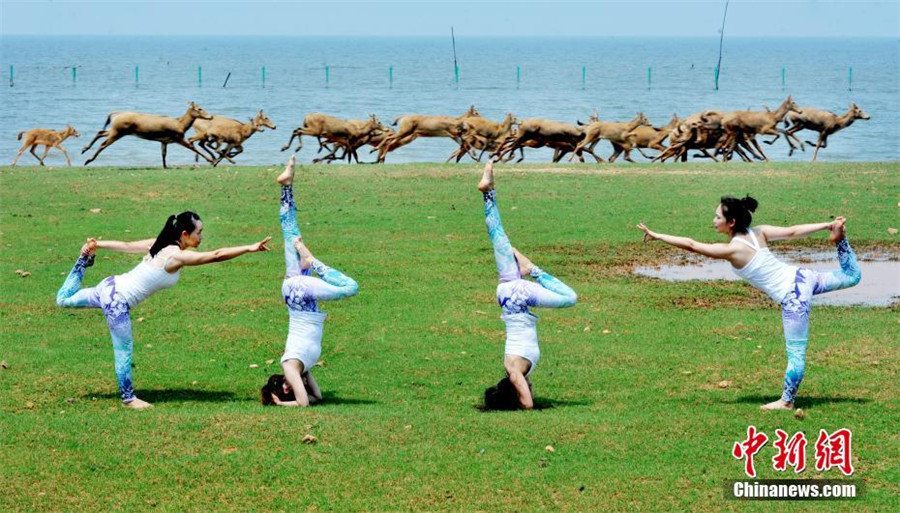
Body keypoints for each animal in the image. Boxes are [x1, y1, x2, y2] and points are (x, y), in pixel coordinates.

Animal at [82, 101, 213, 168]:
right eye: (199, 108)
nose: (210, 116)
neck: (181, 124)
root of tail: (116, 114)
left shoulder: (164, 141)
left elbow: (163, 154)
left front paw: (165, 166)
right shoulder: (178, 137)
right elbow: (192, 147)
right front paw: (211, 160)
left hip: (115, 129)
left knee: (100, 132)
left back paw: (84, 149)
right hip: (118, 131)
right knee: (103, 144)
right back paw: (88, 160)